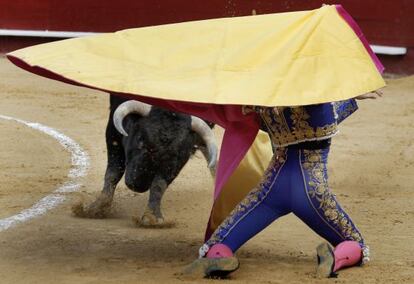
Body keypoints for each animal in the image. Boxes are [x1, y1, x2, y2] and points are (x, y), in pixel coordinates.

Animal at [73, 94, 218, 225]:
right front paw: (96, 208)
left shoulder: (181, 158)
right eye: (140, 140)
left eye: (175, 154)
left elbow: (159, 184)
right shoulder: (113, 131)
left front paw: (152, 216)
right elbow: (113, 172)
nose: (137, 185)